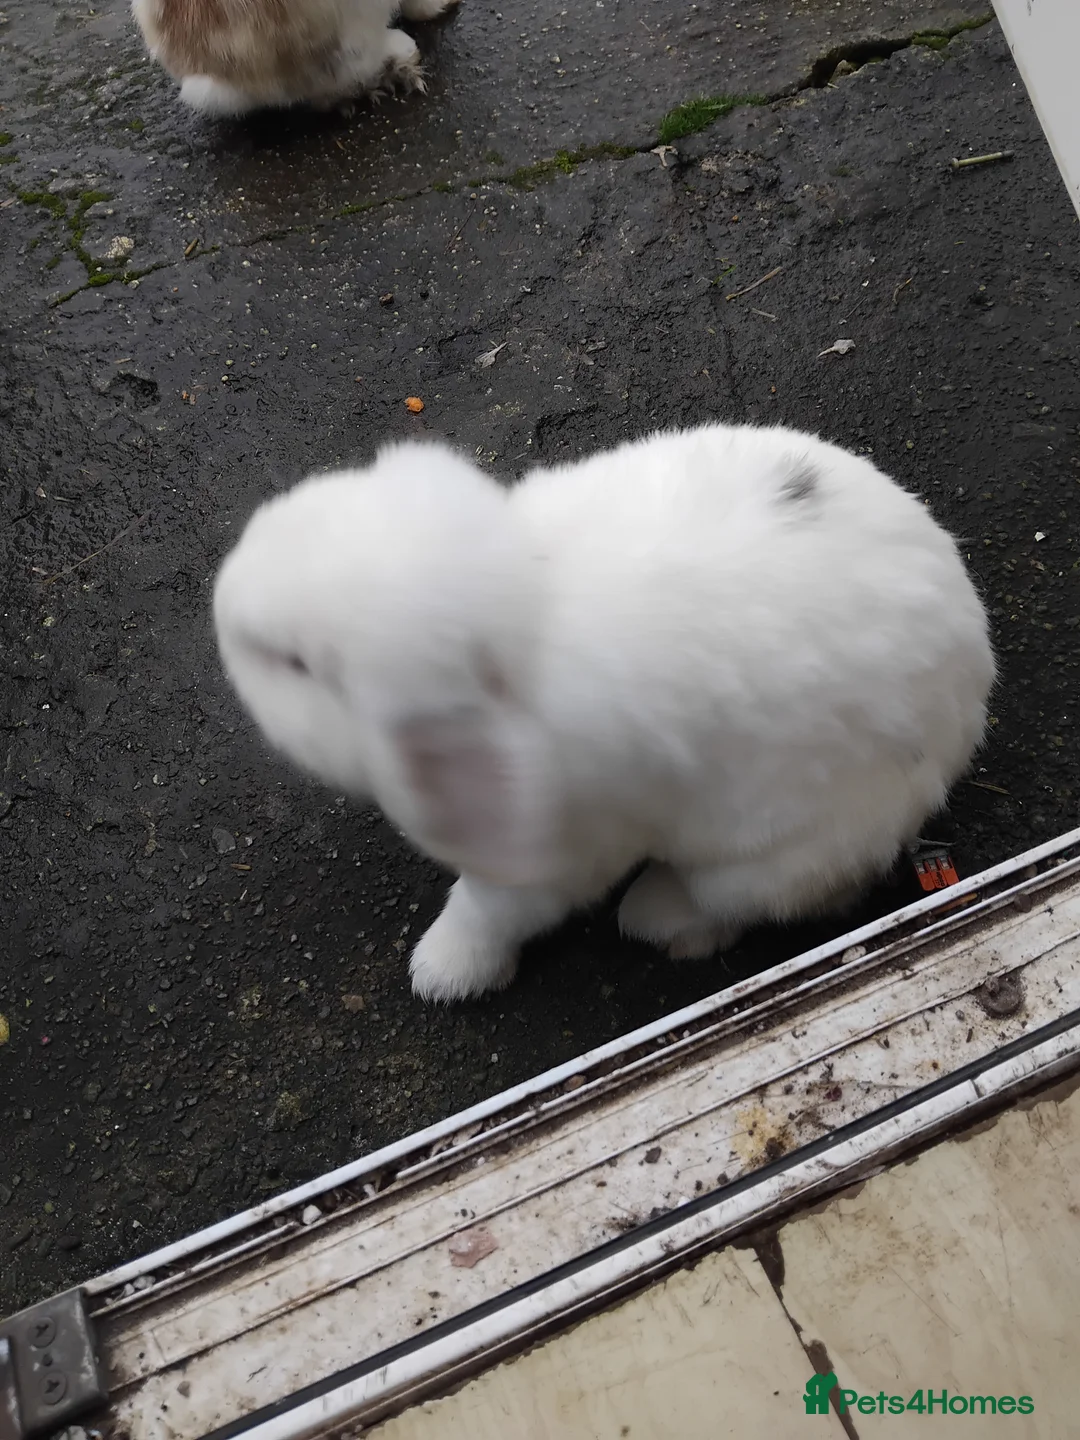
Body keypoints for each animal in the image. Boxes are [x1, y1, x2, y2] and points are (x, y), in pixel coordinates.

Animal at [212, 423, 995, 1004]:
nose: (221, 601)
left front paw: (443, 972)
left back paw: (659, 917)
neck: (529, 611)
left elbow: (491, 907)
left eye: (295, 664)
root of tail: (973, 685)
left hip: (773, 858)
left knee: (752, 902)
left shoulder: (562, 846)